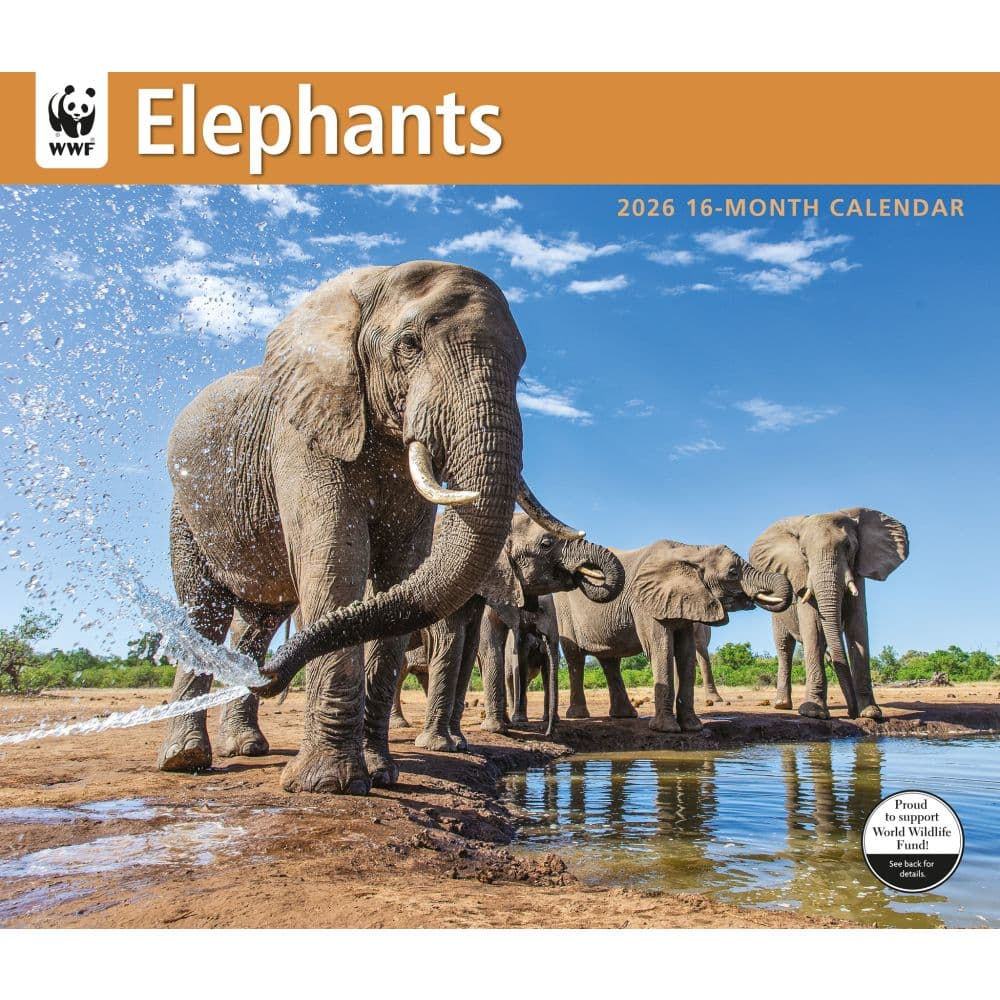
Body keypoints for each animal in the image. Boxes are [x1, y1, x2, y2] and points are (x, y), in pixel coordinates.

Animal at [158, 260, 581, 795]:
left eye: (522, 366)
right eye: (409, 345)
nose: (273, 676)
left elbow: (402, 572)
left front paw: (382, 774)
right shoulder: (305, 431)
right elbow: (337, 557)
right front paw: (328, 785)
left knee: (257, 621)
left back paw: (246, 740)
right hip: (186, 506)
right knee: (204, 609)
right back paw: (187, 758)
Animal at [389, 513, 623, 749]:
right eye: (546, 544)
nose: (549, 732)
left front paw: (496, 728)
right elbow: (485, 650)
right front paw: (495, 729)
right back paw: (400, 726)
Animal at [554, 540, 792, 732]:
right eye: (732, 573)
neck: (691, 550)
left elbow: (686, 654)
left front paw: (693, 727)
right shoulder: (645, 602)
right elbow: (662, 649)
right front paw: (666, 729)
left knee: (609, 659)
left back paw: (624, 715)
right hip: (564, 611)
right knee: (575, 656)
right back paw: (578, 716)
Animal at [749, 507, 909, 721]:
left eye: (848, 546)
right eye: (803, 552)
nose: (852, 713)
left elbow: (857, 625)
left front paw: (870, 713)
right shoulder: (803, 576)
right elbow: (813, 627)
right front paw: (813, 713)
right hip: (778, 616)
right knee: (785, 647)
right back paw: (782, 705)